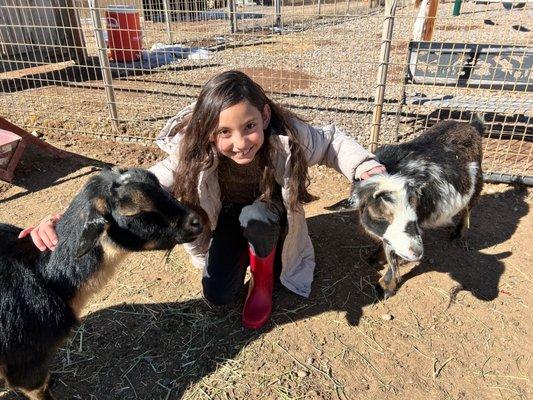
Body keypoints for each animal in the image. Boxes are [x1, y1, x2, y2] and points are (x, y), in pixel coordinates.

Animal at [328, 118, 482, 296]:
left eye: (414, 209)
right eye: (379, 216)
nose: (417, 251)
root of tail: (470, 125)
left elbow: (393, 255)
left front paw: (385, 287)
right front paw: (377, 258)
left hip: (477, 182)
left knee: (468, 207)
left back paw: (458, 233)